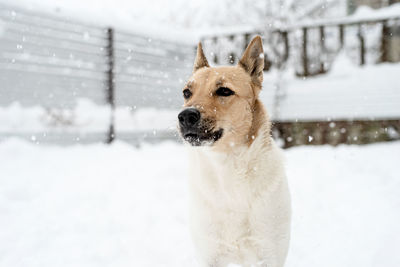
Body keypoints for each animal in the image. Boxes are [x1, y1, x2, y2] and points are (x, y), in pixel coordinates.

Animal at [178, 36, 290, 267]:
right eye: (186, 93)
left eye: (224, 91)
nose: (185, 116)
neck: (227, 167)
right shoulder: (209, 255)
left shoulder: (269, 254)